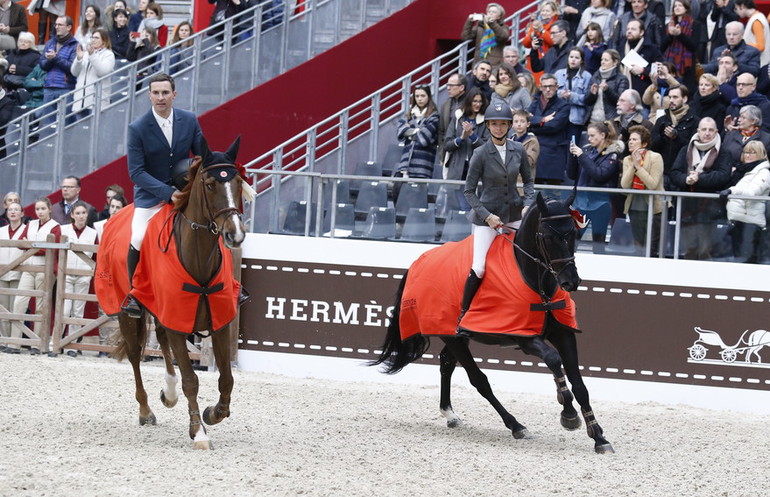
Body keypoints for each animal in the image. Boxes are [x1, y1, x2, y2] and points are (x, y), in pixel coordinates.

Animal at [368, 191, 616, 454]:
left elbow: (580, 385)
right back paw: (516, 426)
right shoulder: (524, 337)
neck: (536, 281)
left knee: (447, 363)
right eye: (548, 237)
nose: (571, 281)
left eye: (572, 233)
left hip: (457, 337)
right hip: (451, 334)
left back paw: (450, 414)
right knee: (479, 380)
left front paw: (599, 437)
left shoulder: (563, 334)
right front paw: (568, 414)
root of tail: (419, 261)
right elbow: (553, 359)